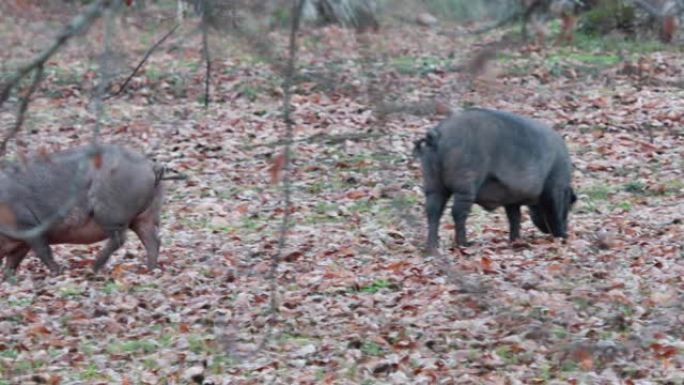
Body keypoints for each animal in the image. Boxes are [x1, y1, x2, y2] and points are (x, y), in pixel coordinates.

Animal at [0, 142, 164, 274]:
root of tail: (151, 165)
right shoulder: (21, 242)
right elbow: (12, 263)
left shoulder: (30, 227)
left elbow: (44, 252)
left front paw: (58, 272)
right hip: (145, 214)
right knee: (152, 240)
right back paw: (149, 270)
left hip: (111, 212)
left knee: (120, 239)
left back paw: (92, 270)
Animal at [412, 108, 576, 252]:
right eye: (569, 205)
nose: (567, 232)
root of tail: (437, 135)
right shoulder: (555, 188)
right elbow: (554, 212)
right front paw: (562, 237)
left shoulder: (512, 199)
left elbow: (514, 218)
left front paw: (515, 241)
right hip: (465, 183)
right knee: (457, 212)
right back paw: (465, 244)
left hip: (433, 183)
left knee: (433, 210)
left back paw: (432, 247)